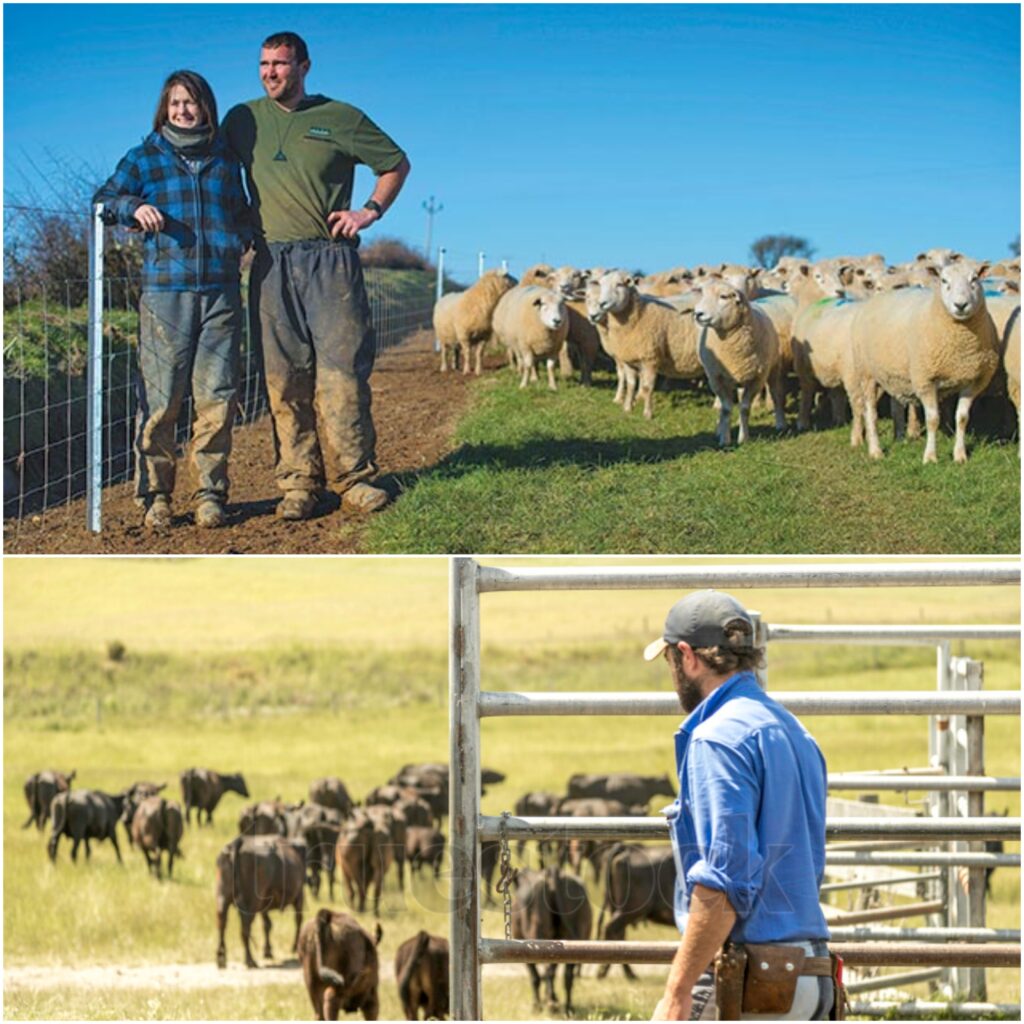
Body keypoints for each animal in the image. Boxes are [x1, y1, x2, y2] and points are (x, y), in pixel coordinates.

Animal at [696, 276, 782, 444]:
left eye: (723, 296)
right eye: (703, 294)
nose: (697, 313)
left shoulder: (757, 379)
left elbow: (744, 408)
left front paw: (743, 438)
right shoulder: (716, 378)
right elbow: (726, 409)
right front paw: (725, 439)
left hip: (772, 369)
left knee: (776, 394)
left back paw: (781, 423)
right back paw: (720, 429)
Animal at [847, 256, 999, 464]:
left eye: (974, 279)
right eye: (944, 281)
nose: (960, 305)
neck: (961, 346)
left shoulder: (973, 380)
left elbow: (962, 418)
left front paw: (960, 455)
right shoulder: (925, 379)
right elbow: (933, 419)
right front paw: (930, 457)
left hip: (893, 373)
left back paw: (897, 439)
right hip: (866, 372)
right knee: (870, 412)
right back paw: (875, 450)